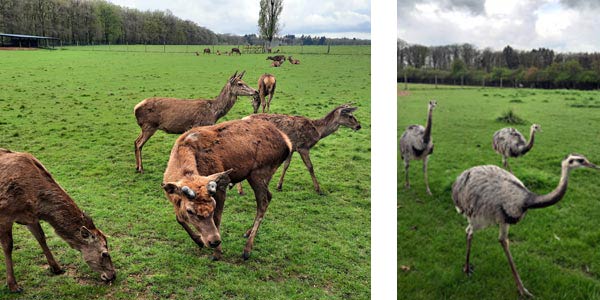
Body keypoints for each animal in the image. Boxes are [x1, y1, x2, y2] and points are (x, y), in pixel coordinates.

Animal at [0, 149, 116, 292]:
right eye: (104, 254)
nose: (113, 275)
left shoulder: (29, 217)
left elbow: (41, 237)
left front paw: (56, 268)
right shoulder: (5, 215)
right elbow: (8, 246)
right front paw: (13, 285)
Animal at [159, 118, 290, 262]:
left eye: (213, 206)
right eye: (190, 211)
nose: (214, 241)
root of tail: (287, 143)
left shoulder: (221, 187)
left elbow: (217, 219)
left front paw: (217, 253)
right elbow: (179, 218)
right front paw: (199, 241)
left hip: (259, 172)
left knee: (263, 203)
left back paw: (247, 249)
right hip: (260, 175)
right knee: (269, 195)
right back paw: (247, 232)